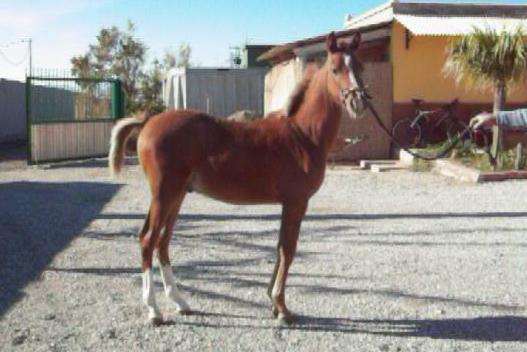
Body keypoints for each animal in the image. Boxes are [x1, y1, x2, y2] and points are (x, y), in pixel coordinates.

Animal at [109, 32, 370, 324]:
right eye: (335, 69)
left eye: (360, 67)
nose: (358, 103)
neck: (302, 134)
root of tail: (147, 122)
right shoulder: (296, 202)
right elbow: (288, 249)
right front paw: (282, 307)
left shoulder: (288, 204)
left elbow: (280, 247)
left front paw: (273, 302)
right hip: (164, 195)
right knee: (148, 240)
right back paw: (154, 310)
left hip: (176, 197)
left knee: (162, 243)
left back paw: (180, 302)